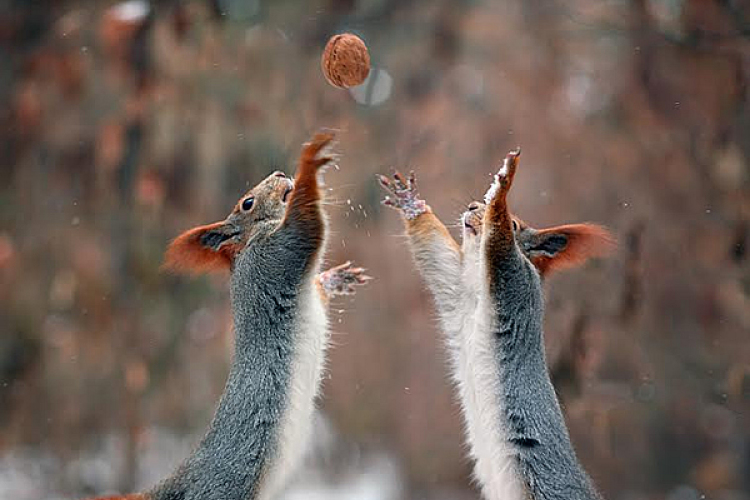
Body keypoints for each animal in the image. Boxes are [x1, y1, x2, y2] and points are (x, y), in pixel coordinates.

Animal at [86, 134, 370, 500]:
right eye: (247, 203)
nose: (280, 173)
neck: (249, 241)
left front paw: (337, 279)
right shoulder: (275, 254)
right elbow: (307, 226)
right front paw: (310, 161)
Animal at [382, 149, 616, 500]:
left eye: (518, 223)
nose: (471, 206)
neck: (477, 284)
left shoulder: (515, 278)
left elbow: (500, 242)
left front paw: (502, 189)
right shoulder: (455, 288)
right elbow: (436, 252)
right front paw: (410, 201)